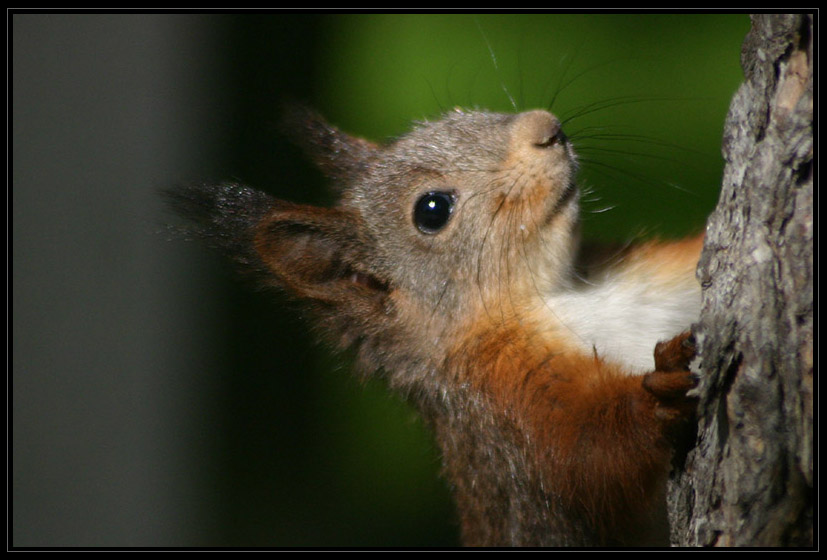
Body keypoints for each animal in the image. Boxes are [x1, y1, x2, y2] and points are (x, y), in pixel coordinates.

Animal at [168, 106, 704, 548]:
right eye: (432, 210)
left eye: (464, 112)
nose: (547, 128)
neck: (556, 296)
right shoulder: (503, 406)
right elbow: (588, 458)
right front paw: (657, 398)